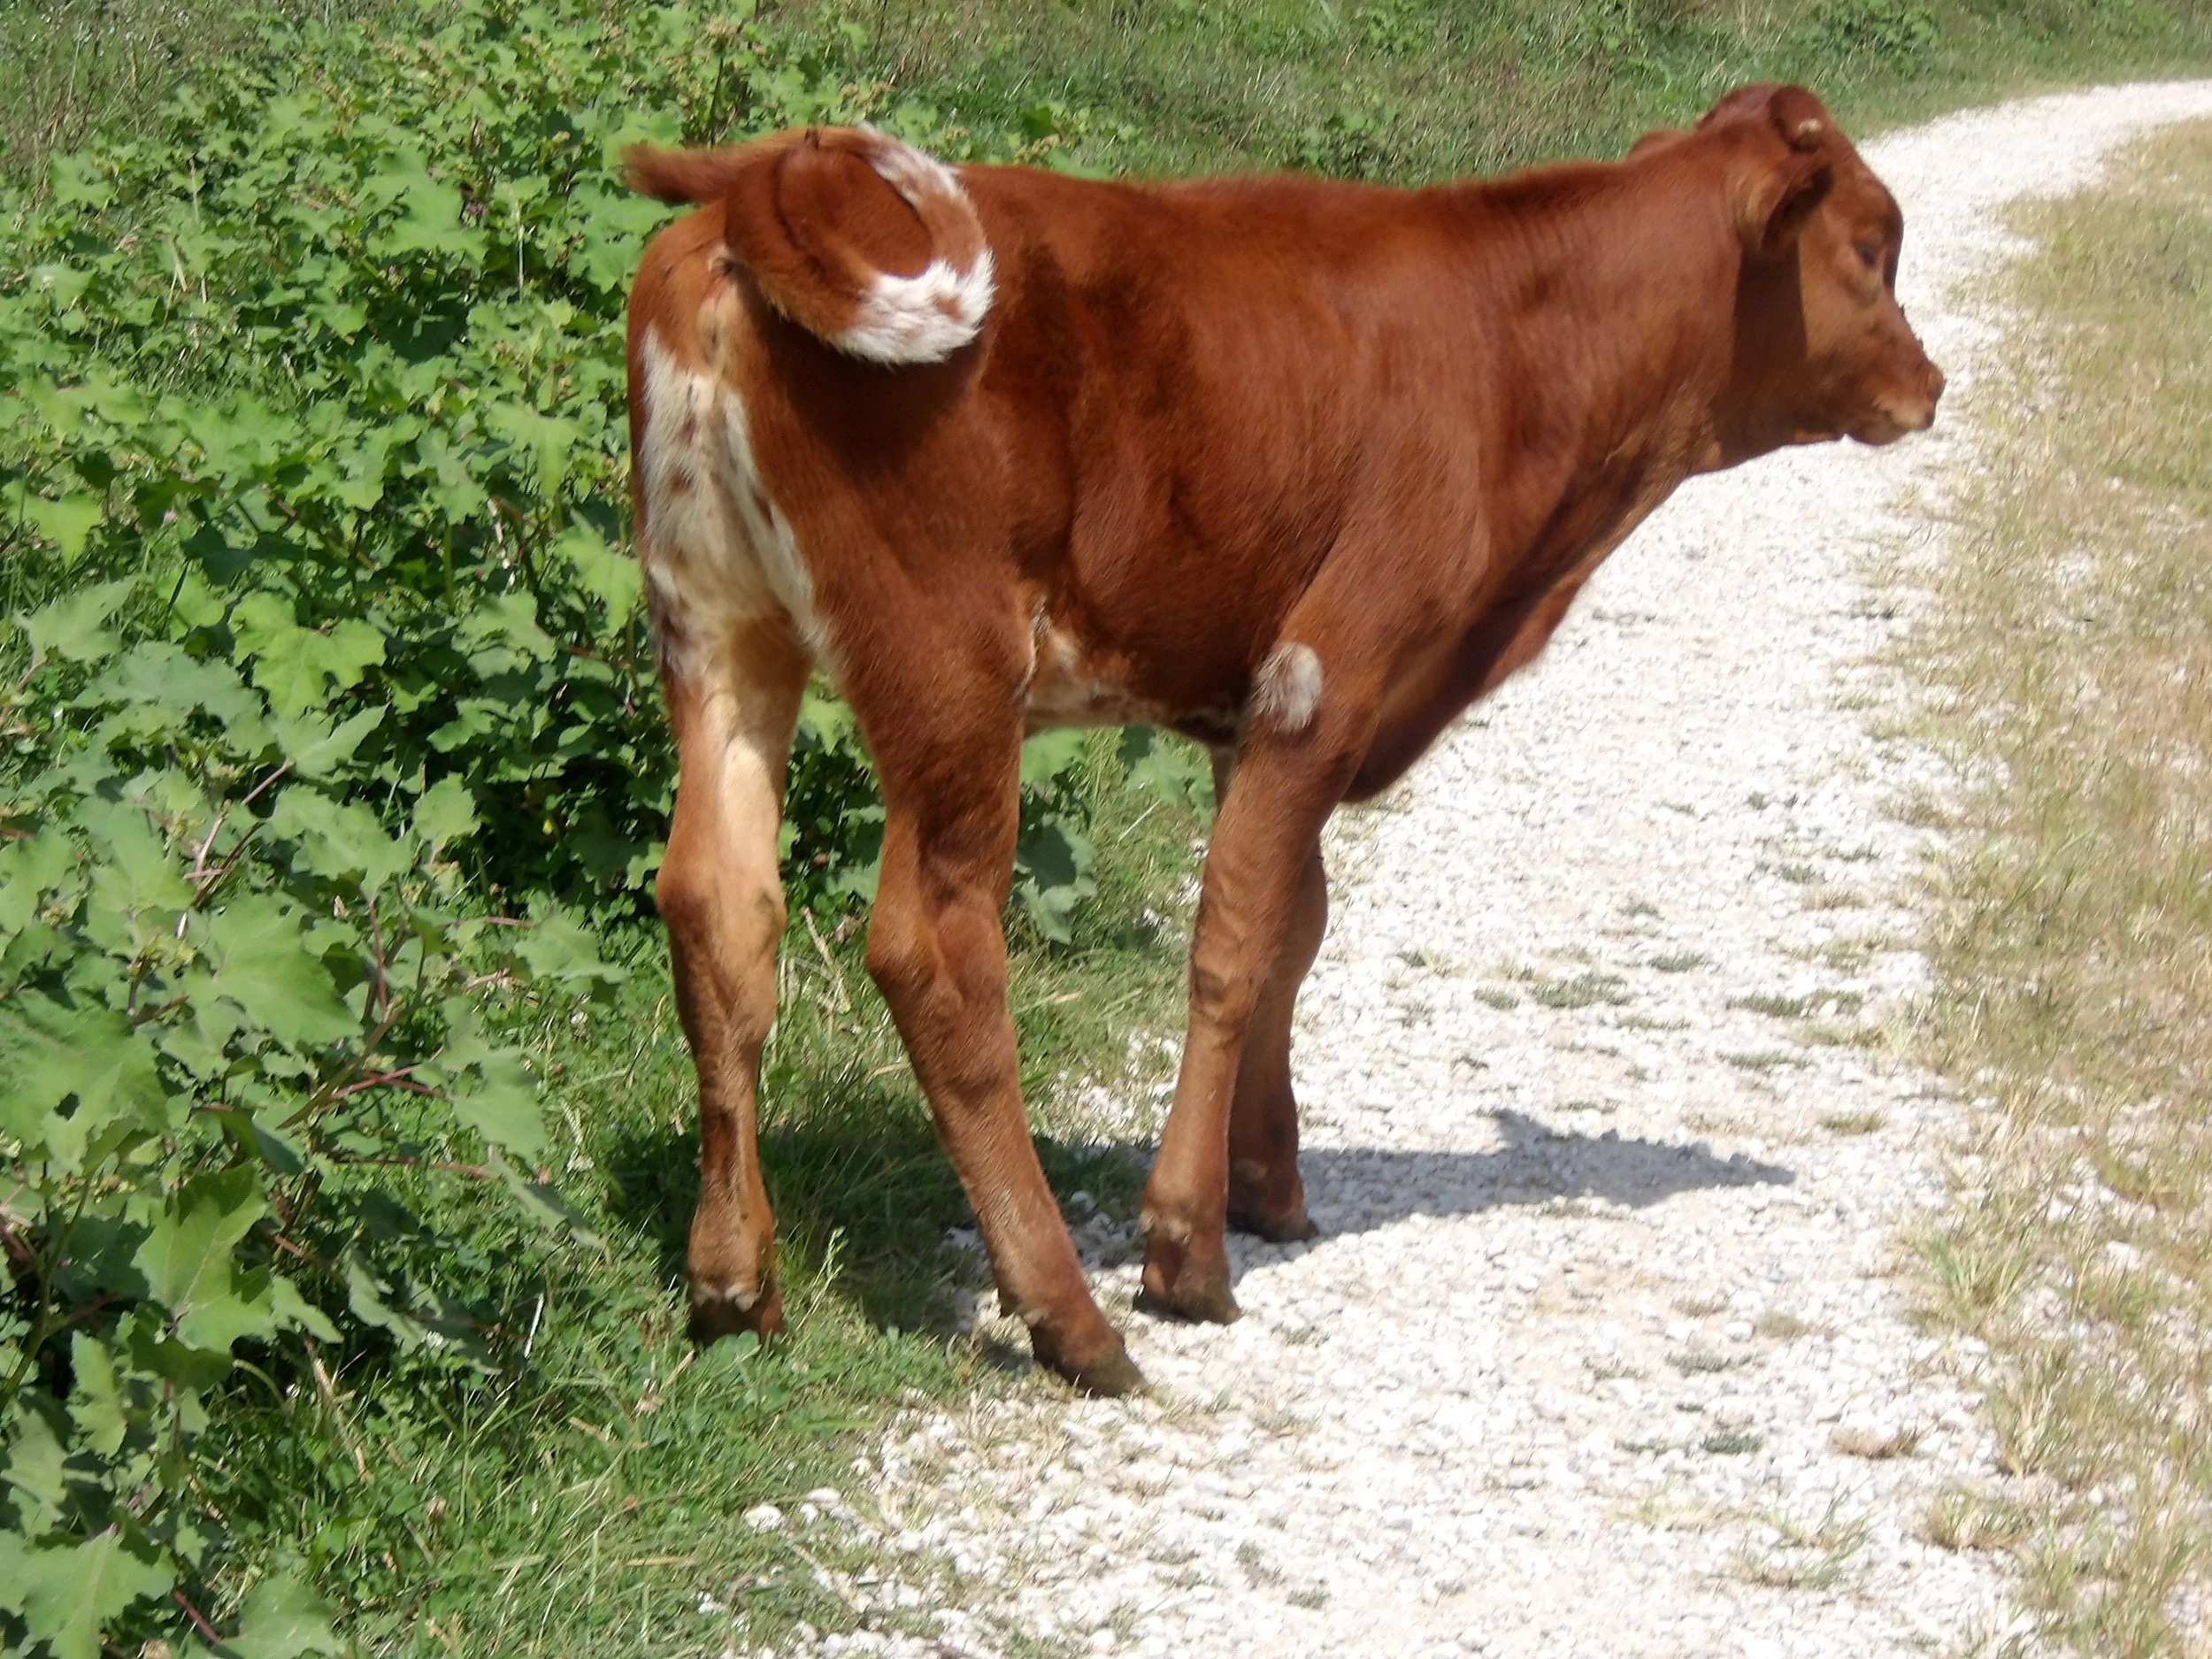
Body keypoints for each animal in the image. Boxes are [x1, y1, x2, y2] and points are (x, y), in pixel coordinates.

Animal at [621, 82, 1942, 1396]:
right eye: (1874, 243)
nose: (1930, 378)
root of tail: (750, 197)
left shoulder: (1254, 707)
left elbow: (1295, 928)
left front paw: (1268, 1183)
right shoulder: (1331, 673)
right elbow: (1235, 941)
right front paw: (1187, 1248)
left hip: (717, 630)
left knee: (716, 906)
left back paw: (733, 1283)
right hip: (948, 663)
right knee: (932, 948)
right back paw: (1068, 1314)